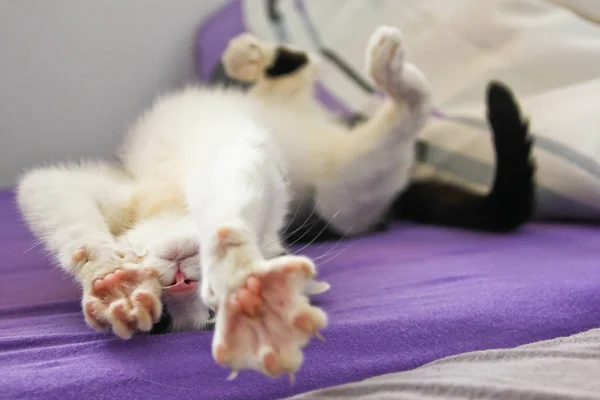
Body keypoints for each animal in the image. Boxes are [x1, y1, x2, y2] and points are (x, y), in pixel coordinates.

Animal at [18, 25, 432, 378]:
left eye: (212, 309)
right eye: (165, 318)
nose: (182, 282)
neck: (172, 205)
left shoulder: (239, 157)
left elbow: (229, 195)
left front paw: (238, 269)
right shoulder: (106, 191)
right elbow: (48, 193)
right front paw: (107, 281)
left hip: (345, 193)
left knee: (403, 104)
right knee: (303, 76)